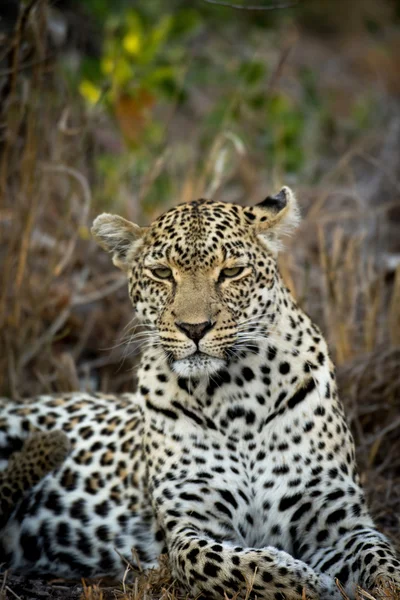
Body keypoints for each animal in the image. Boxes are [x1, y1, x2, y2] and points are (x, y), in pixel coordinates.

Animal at [0, 188, 398, 600]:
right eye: (162, 273)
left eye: (231, 272)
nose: (194, 328)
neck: (238, 395)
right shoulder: (189, 527)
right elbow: (224, 563)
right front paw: (306, 580)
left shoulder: (340, 522)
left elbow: (382, 559)